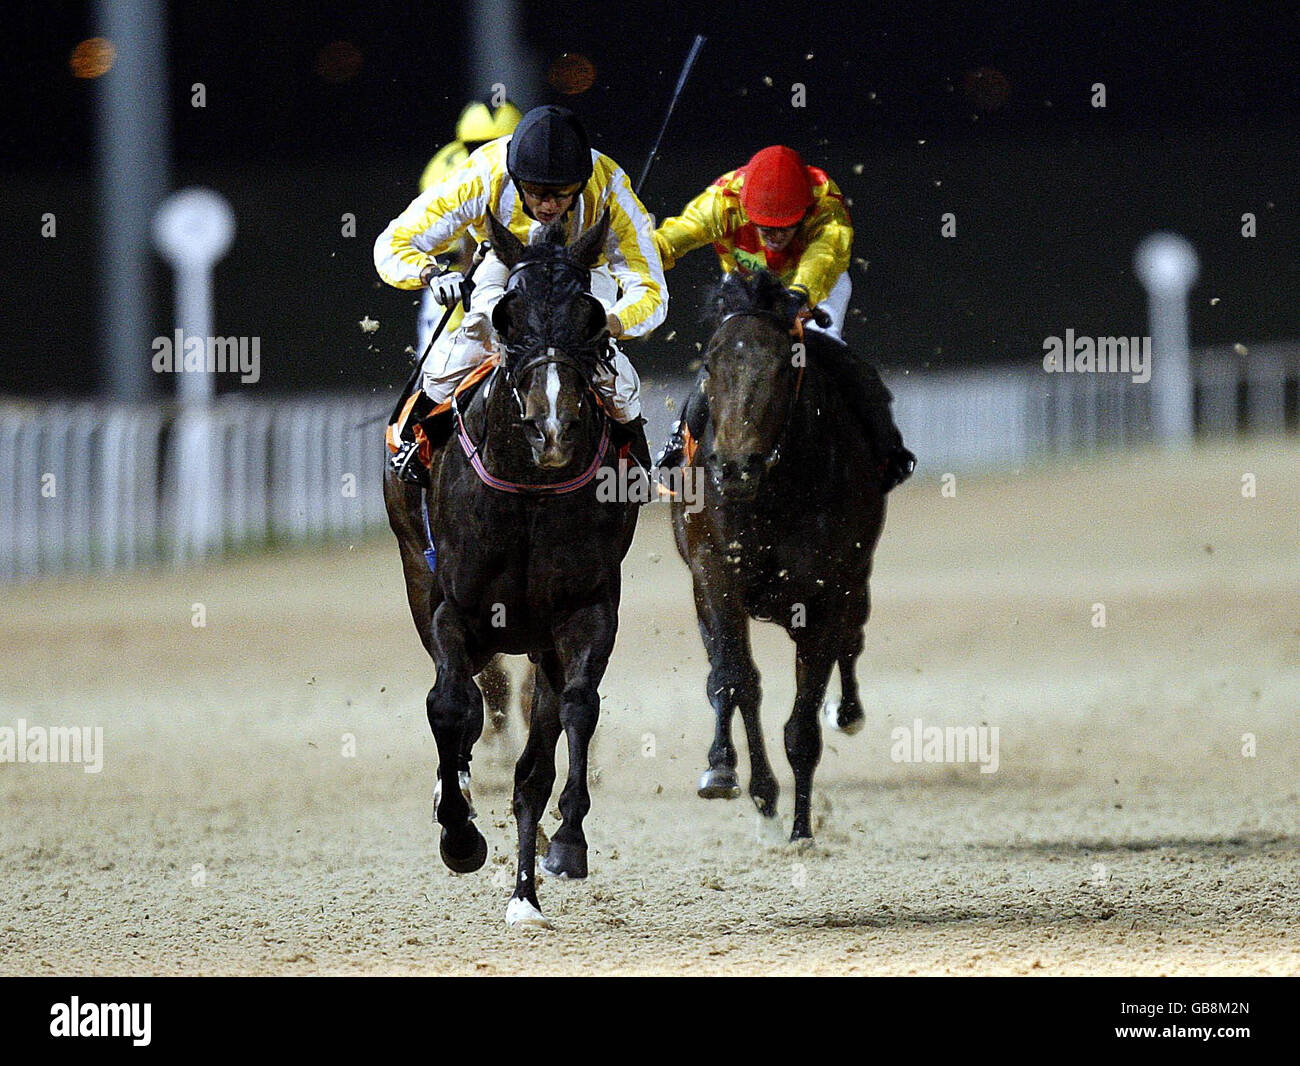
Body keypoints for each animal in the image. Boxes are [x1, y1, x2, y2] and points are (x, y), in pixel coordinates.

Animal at [379, 208, 639, 925]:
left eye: (593, 316)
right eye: (506, 313)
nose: (551, 427)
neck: (529, 489)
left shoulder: (585, 611)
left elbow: (575, 711)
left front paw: (568, 841)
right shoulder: (456, 609)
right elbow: (449, 705)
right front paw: (459, 833)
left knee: (534, 757)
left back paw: (526, 890)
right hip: (419, 575)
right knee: (467, 703)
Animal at [676, 270, 889, 847]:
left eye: (784, 365)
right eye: (711, 364)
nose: (735, 466)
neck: (773, 492)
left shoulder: (826, 594)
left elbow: (803, 725)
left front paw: (801, 831)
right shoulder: (715, 575)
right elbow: (734, 679)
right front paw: (722, 770)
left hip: (854, 584)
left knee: (853, 640)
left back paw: (848, 713)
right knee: (738, 682)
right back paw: (759, 789)